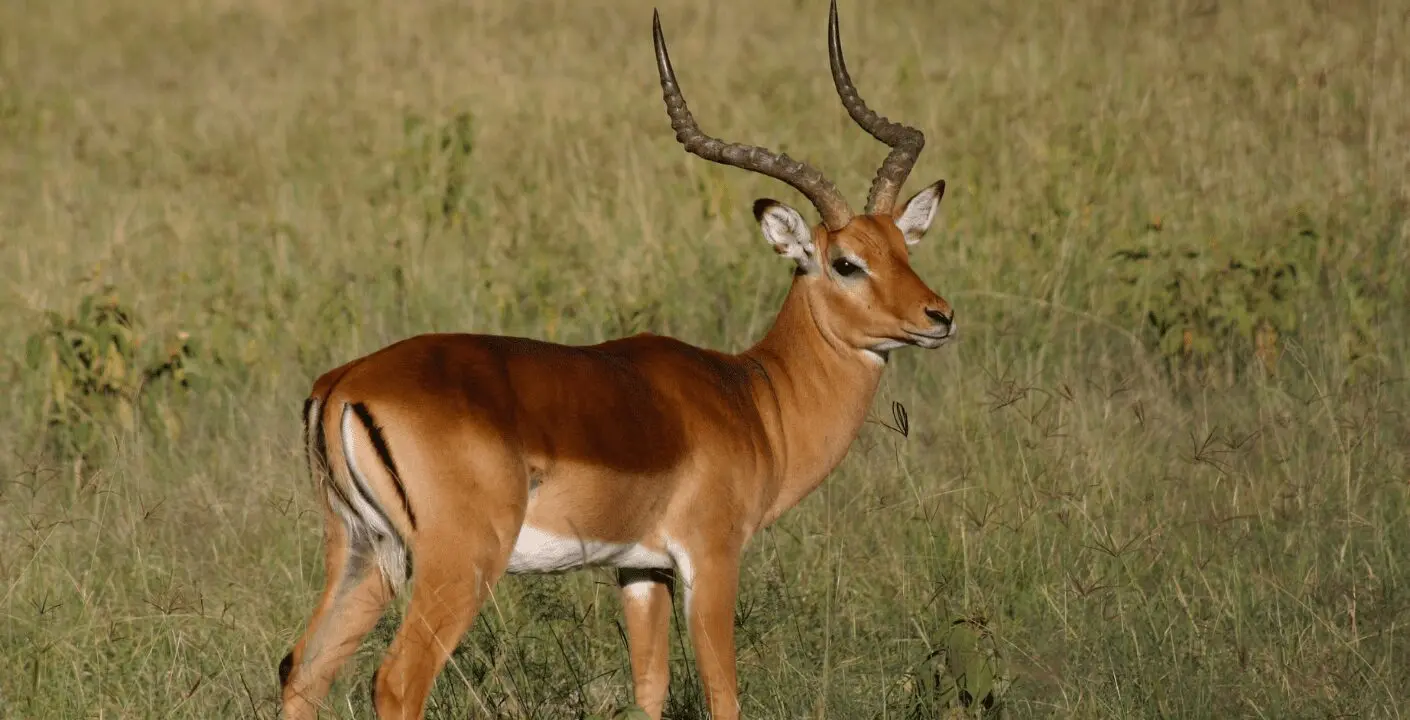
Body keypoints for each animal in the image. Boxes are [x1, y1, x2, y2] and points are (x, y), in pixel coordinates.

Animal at [278, 2, 955, 718]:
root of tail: (344, 384)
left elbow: (649, 687)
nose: (939, 317)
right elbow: (722, 692)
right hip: (455, 563)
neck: (752, 398)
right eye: (846, 262)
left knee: (302, 670)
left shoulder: (640, 569)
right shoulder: (710, 558)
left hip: (363, 553)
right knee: (397, 679)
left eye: (903, 250)